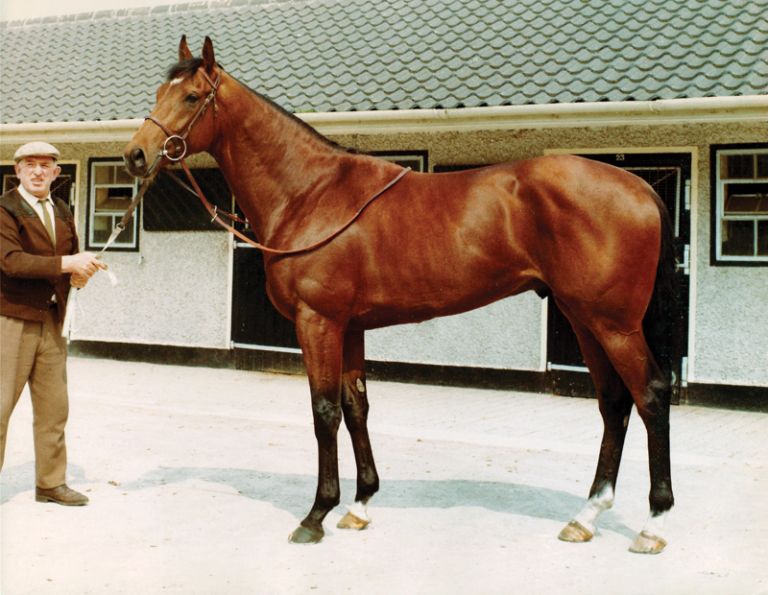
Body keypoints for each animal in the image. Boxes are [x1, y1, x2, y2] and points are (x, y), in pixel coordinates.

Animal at [123, 36, 675, 554]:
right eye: (158, 93)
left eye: (192, 96)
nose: (135, 155)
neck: (310, 193)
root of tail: (641, 188)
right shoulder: (350, 327)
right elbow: (356, 407)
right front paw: (360, 505)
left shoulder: (317, 322)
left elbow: (324, 411)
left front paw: (316, 515)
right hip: (584, 319)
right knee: (613, 403)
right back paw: (586, 517)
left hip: (613, 324)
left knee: (649, 395)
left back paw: (654, 524)